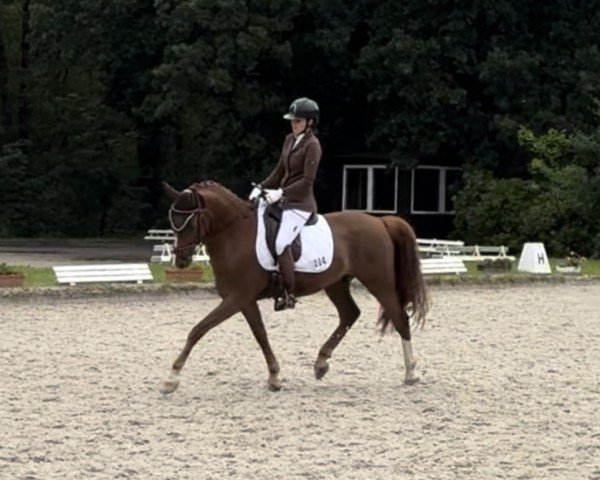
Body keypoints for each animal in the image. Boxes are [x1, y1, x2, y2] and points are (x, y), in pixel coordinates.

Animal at [161, 181, 426, 394]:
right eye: (173, 221)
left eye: (190, 222)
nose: (181, 261)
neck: (234, 234)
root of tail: (380, 221)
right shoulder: (244, 300)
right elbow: (260, 334)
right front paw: (274, 377)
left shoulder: (237, 298)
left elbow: (198, 330)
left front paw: (171, 379)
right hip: (336, 283)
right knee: (349, 314)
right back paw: (320, 363)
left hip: (379, 282)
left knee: (399, 318)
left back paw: (411, 373)